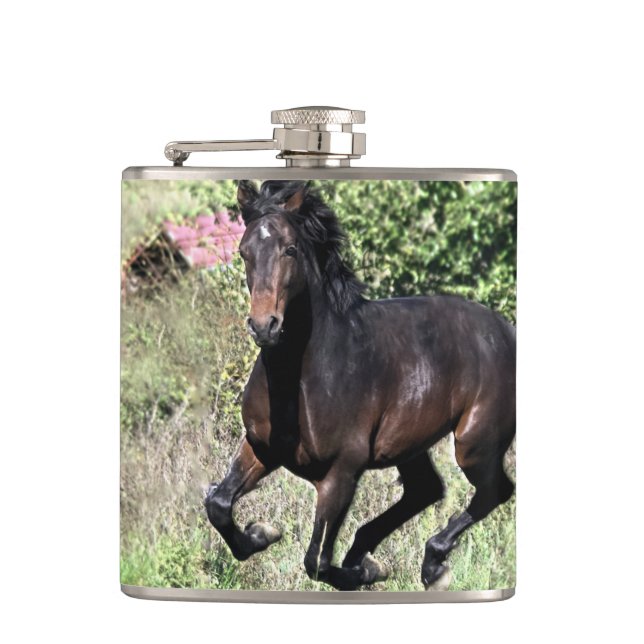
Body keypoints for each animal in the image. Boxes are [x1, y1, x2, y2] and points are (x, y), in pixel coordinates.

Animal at [205, 180, 516, 590]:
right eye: (244, 251)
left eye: (290, 249)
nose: (264, 326)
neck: (303, 378)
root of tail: (508, 331)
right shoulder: (260, 447)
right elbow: (218, 504)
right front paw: (261, 534)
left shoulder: (340, 473)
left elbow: (316, 561)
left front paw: (368, 571)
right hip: (410, 442)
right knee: (426, 489)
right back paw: (369, 553)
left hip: (474, 443)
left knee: (494, 491)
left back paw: (431, 564)